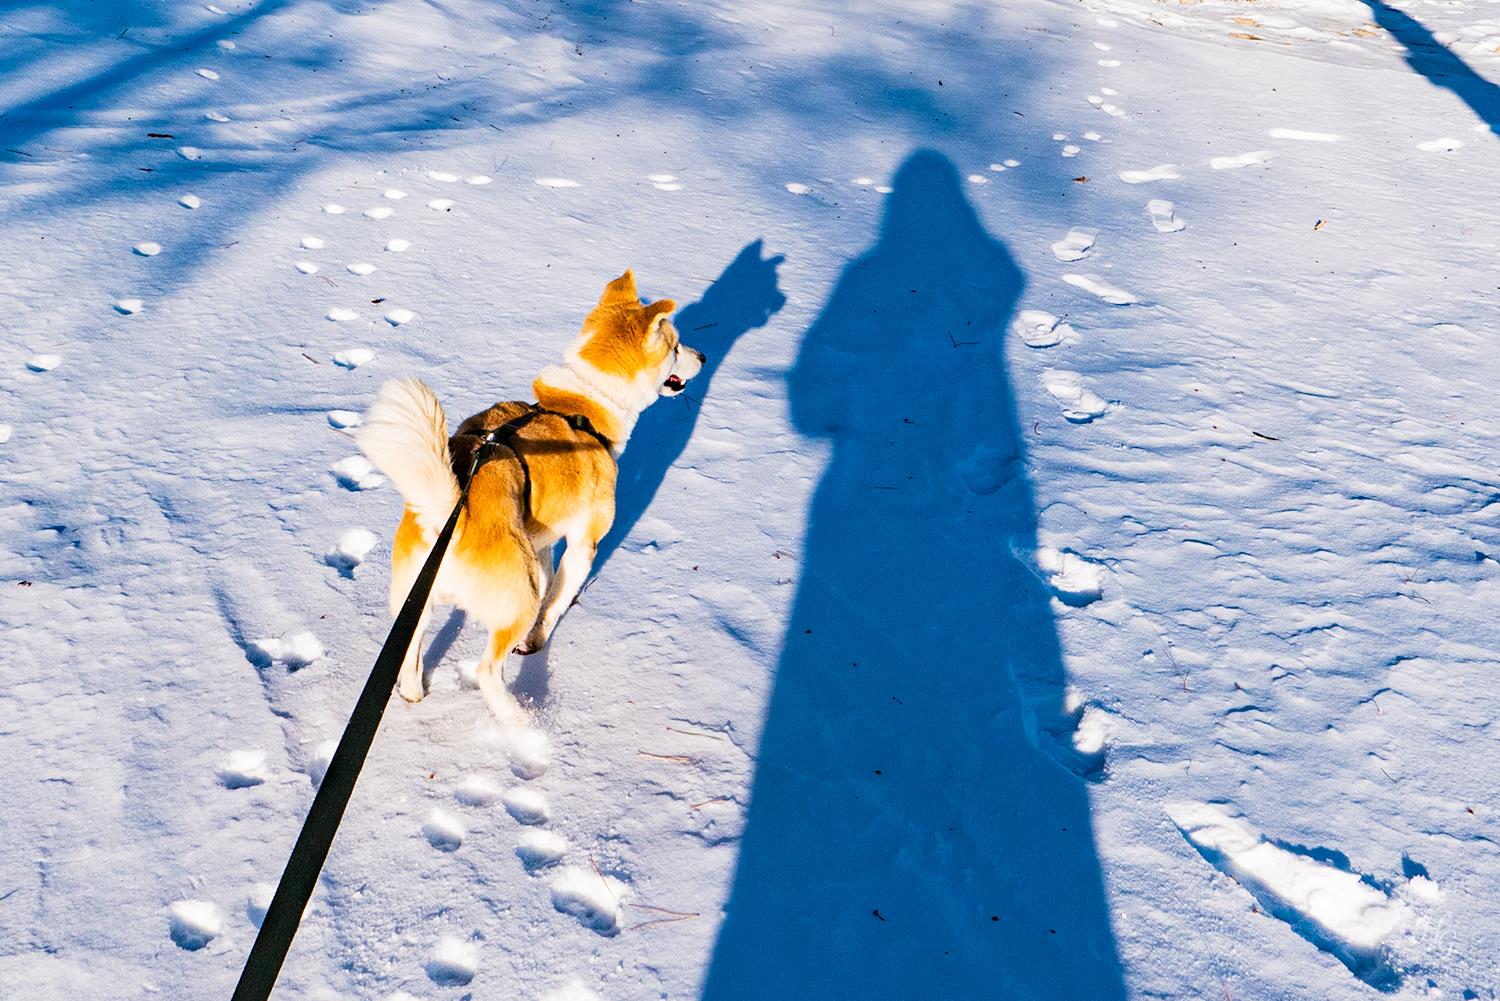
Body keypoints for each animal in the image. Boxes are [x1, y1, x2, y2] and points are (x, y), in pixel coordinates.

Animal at [357, 271, 702, 729]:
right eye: (676, 346)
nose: (703, 356)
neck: (584, 403)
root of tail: (449, 511)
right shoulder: (582, 546)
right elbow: (553, 605)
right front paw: (537, 641)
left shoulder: (540, 545)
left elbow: (548, 586)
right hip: (513, 599)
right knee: (488, 669)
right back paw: (520, 718)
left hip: (415, 603)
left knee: (409, 657)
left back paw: (414, 694)